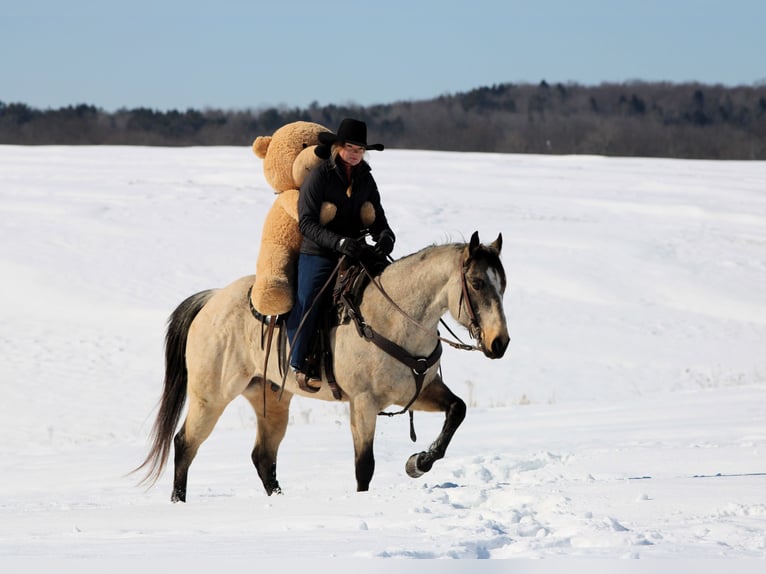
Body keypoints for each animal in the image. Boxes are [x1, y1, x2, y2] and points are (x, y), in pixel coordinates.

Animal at [134, 231, 509, 502]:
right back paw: (179, 503)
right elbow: (364, 466)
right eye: (477, 283)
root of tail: (212, 299)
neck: (393, 318)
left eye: (502, 285)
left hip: (271, 399)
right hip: (210, 396)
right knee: (185, 444)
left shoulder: (420, 391)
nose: (499, 342)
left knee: (263, 457)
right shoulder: (363, 403)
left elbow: (457, 410)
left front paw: (418, 462)